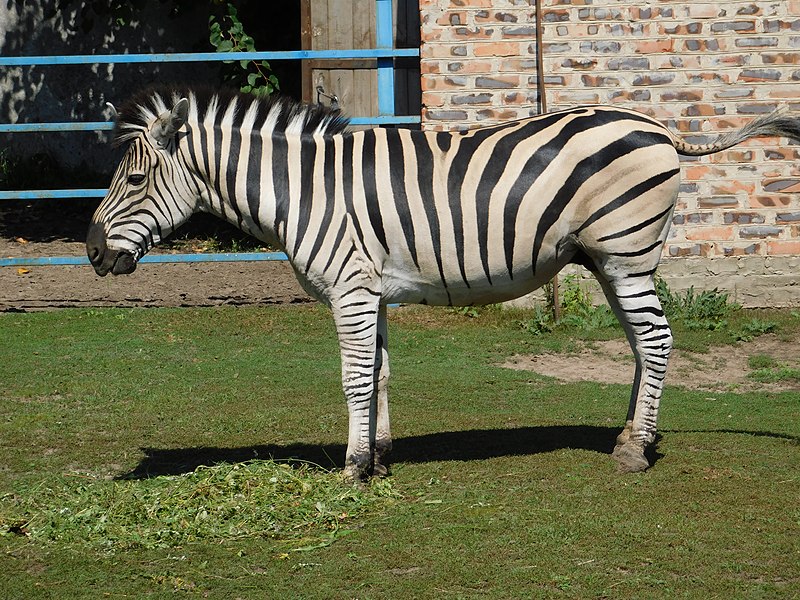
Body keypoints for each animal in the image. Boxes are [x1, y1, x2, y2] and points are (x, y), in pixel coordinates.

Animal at [86, 86, 800, 482]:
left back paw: (634, 453)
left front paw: (352, 469)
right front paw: (378, 456)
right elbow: (377, 375)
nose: (91, 253)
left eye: (135, 180)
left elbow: (353, 379)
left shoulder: (349, 289)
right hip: (608, 259)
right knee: (641, 344)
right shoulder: (370, 290)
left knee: (655, 341)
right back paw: (631, 437)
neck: (305, 191)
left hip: (626, 254)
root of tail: (659, 128)